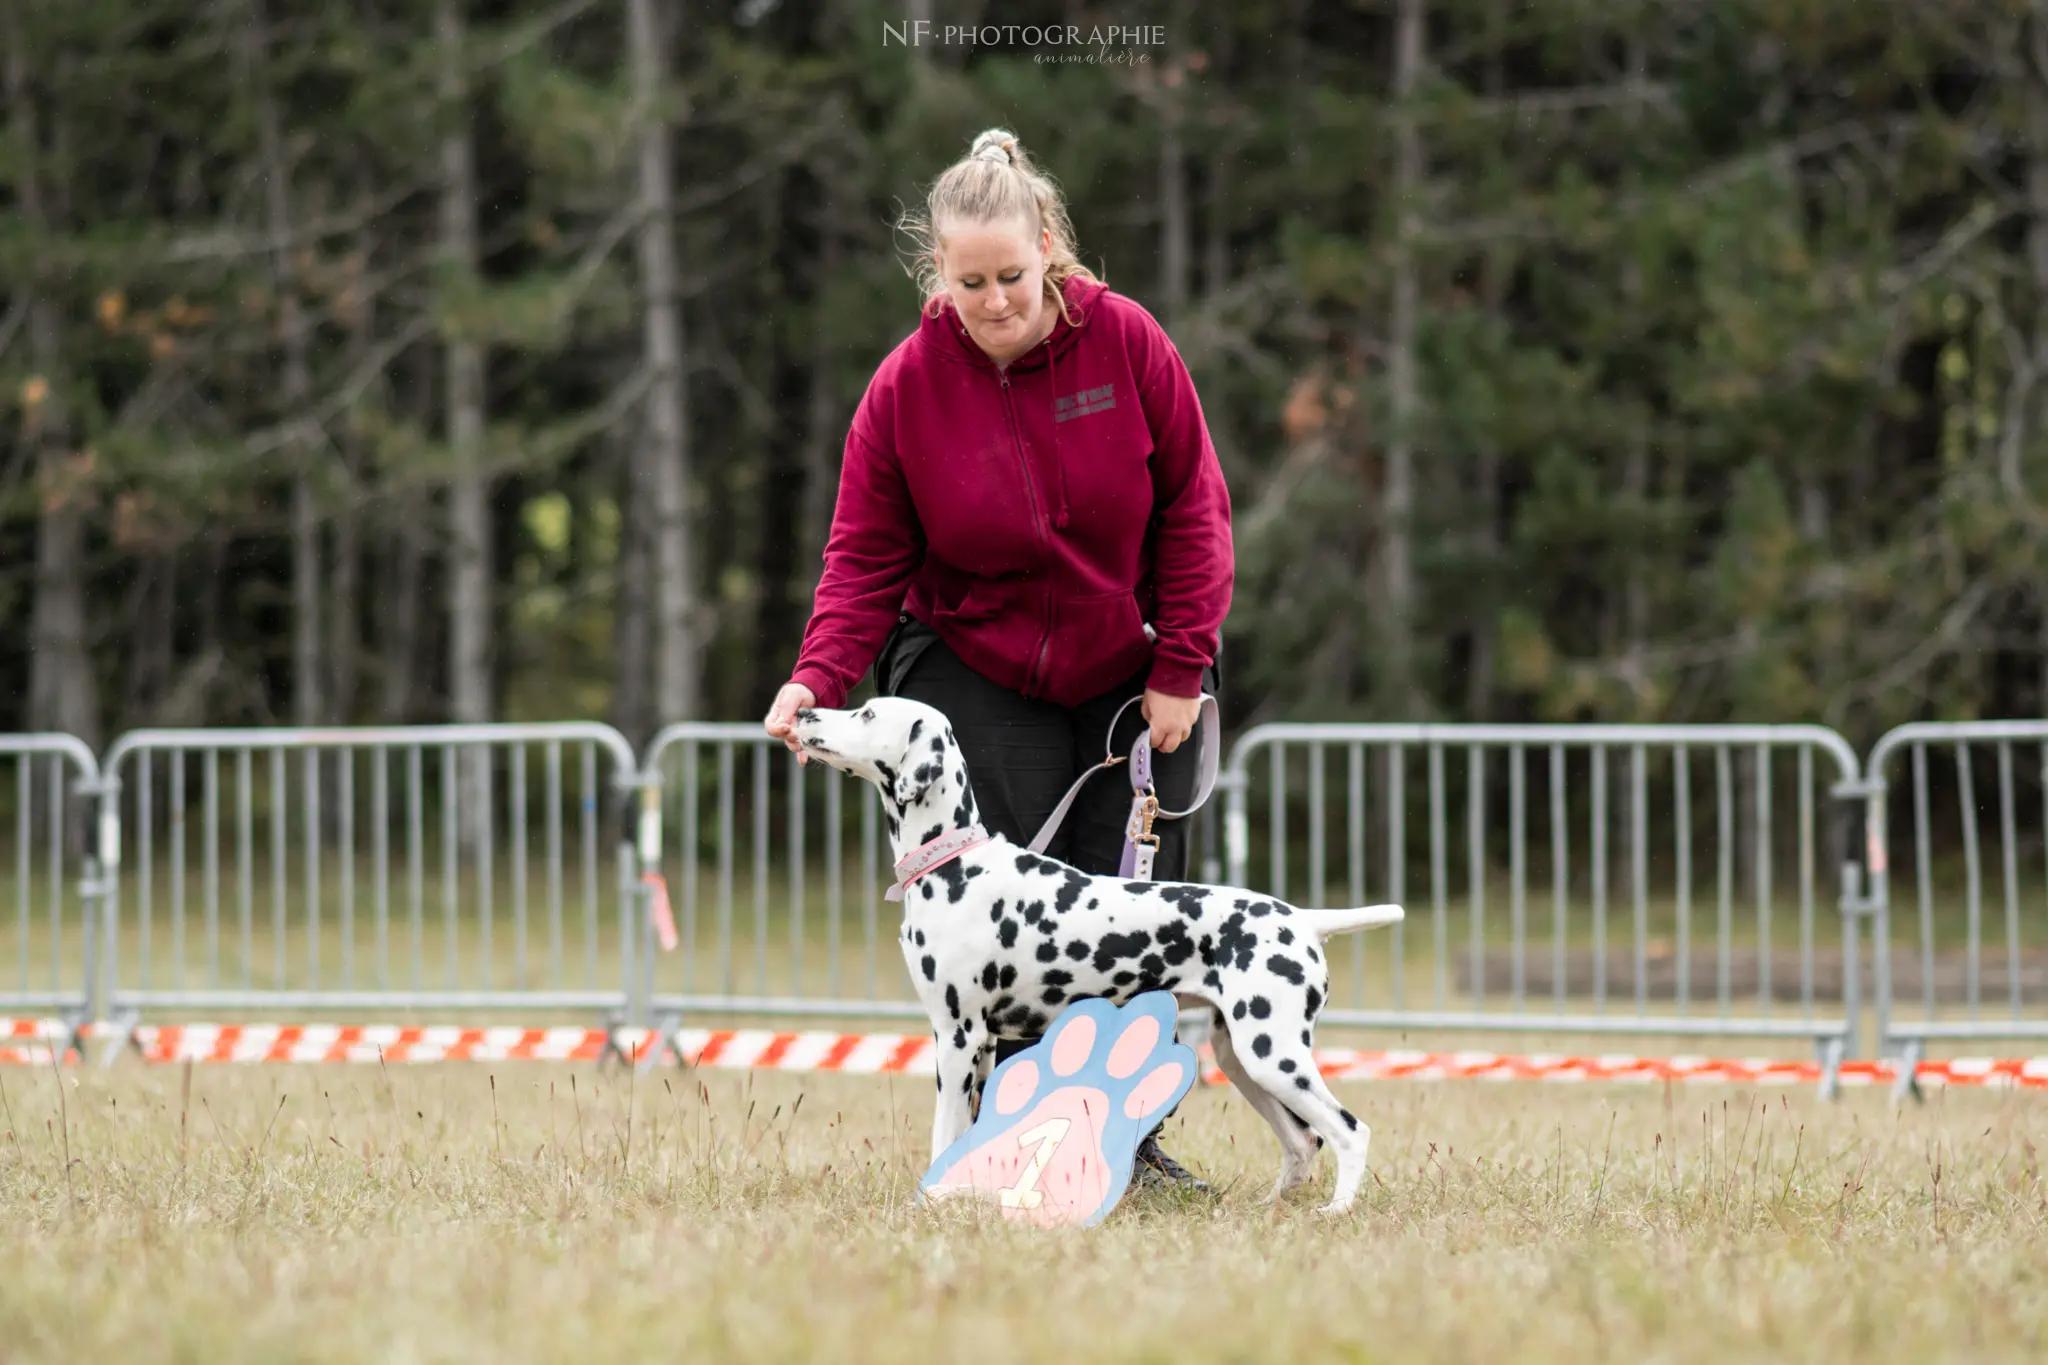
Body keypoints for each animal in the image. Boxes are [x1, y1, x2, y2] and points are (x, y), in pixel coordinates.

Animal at [786, 695, 1409, 1219]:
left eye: (868, 713)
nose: (807, 711)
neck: (954, 863)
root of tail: (1303, 919)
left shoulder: (957, 1036)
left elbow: (945, 1136)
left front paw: (931, 1201)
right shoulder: (980, 1046)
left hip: (1272, 1055)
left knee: (1349, 1130)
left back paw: (1337, 1212)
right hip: (1242, 1058)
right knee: (1303, 1141)